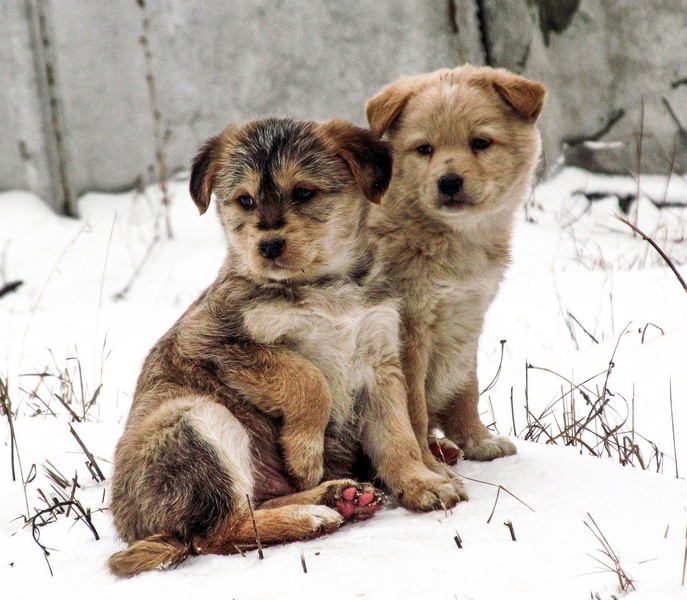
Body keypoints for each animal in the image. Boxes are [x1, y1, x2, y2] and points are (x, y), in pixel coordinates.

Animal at [109, 116, 468, 576]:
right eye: (244, 201)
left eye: (303, 192)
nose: (268, 247)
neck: (324, 287)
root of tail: (132, 528)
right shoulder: (215, 341)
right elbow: (307, 379)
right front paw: (305, 456)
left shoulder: (380, 360)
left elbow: (398, 437)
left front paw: (421, 484)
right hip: (198, 418)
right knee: (217, 532)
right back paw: (310, 514)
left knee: (251, 506)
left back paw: (338, 497)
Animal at [366, 64, 548, 468]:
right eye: (424, 149)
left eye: (480, 143)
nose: (449, 182)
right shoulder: (409, 327)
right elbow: (413, 406)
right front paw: (424, 461)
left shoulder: (467, 317)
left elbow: (466, 387)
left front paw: (477, 440)